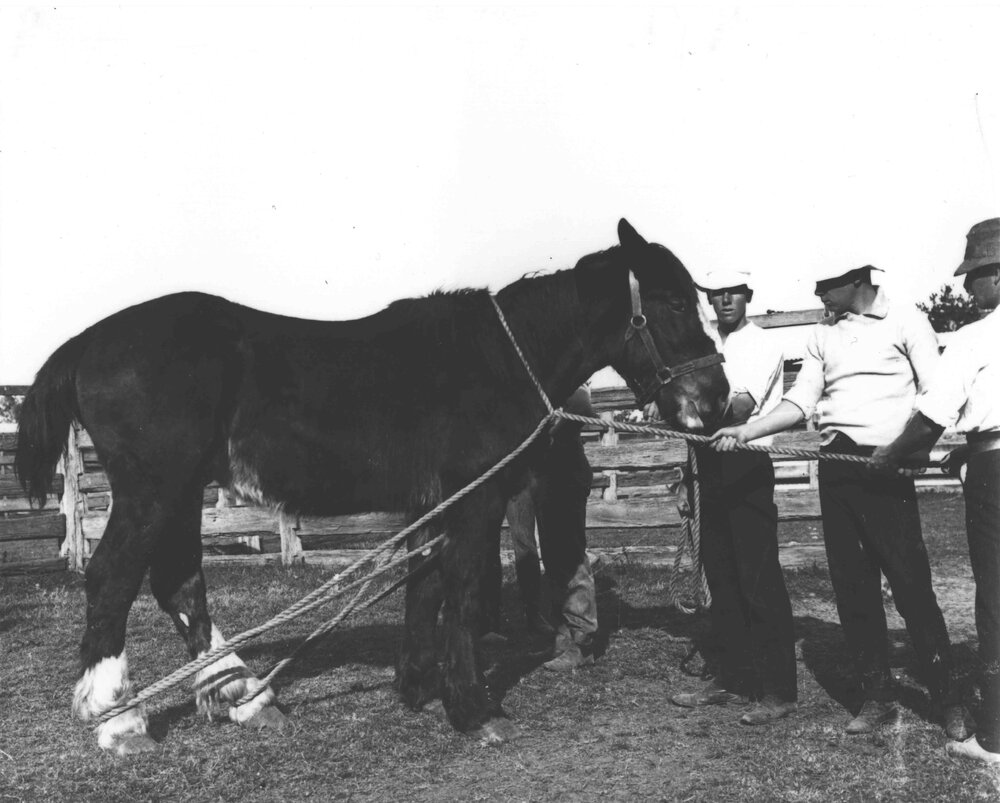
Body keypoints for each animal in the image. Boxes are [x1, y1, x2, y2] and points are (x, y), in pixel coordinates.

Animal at [15, 218, 728, 754]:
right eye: (669, 302)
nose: (716, 399)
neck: (497, 358)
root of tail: (88, 342)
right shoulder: (474, 501)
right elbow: (463, 594)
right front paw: (472, 711)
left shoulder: (434, 505)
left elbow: (425, 586)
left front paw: (418, 691)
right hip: (153, 492)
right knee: (113, 580)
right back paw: (119, 721)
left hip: (182, 492)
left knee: (180, 582)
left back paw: (245, 698)